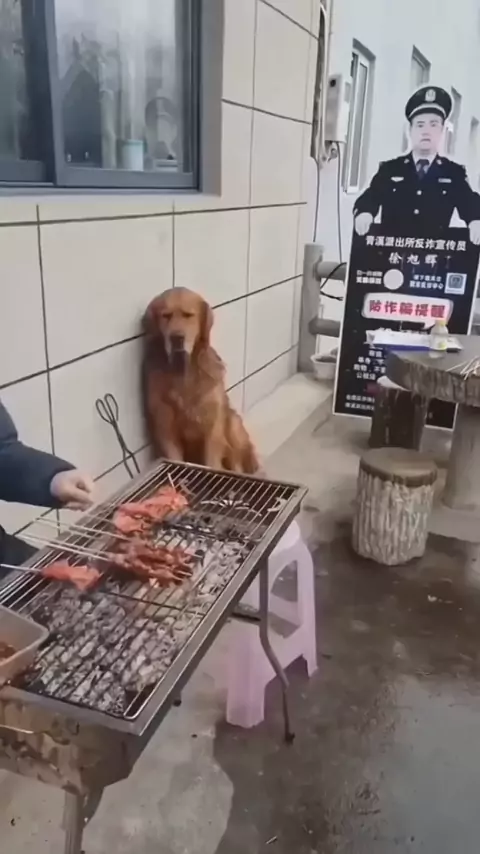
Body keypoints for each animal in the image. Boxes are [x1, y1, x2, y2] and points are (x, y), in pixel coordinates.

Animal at [142, 288, 260, 473]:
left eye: (188, 315)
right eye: (165, 316)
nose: (176, 338)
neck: (184, 374)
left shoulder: (212, 428)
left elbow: (212, 462)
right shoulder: (165, 429)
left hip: (232, 423)